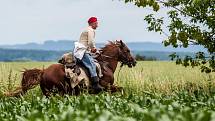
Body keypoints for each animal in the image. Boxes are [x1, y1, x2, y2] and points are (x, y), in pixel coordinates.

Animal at [7, 40, 138, 97]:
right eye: (127, 50)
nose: (134, 61)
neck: (106, 65)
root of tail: (44, 71)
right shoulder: (107, 87)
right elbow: (121, 89)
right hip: (59, 93)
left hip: (48, 93)